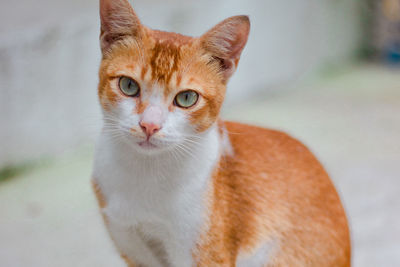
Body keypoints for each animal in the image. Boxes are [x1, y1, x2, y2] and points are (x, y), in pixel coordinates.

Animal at [92, 0, 352, 267]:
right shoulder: (135, 249)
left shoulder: (204, 252)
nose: (149, 125)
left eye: (187, 98)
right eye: (128, 85)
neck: (146, 173)